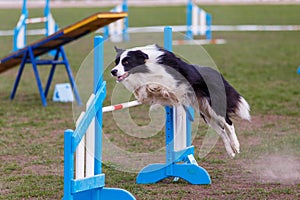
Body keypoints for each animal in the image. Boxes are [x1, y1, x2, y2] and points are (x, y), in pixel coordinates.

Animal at [110, 44, 251, 158]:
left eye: (126, 62)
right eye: (116, 62)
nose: (113, 71)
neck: (145, 66)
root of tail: (217, 74)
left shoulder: (173, 80)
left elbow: (159, 83)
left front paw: (155, 88)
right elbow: (145, 90)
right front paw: (145, 93)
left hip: (213, 108)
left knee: (228, 123)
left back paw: (236, 146)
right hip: (206, 114)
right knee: (222, 132)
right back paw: (231, 151)